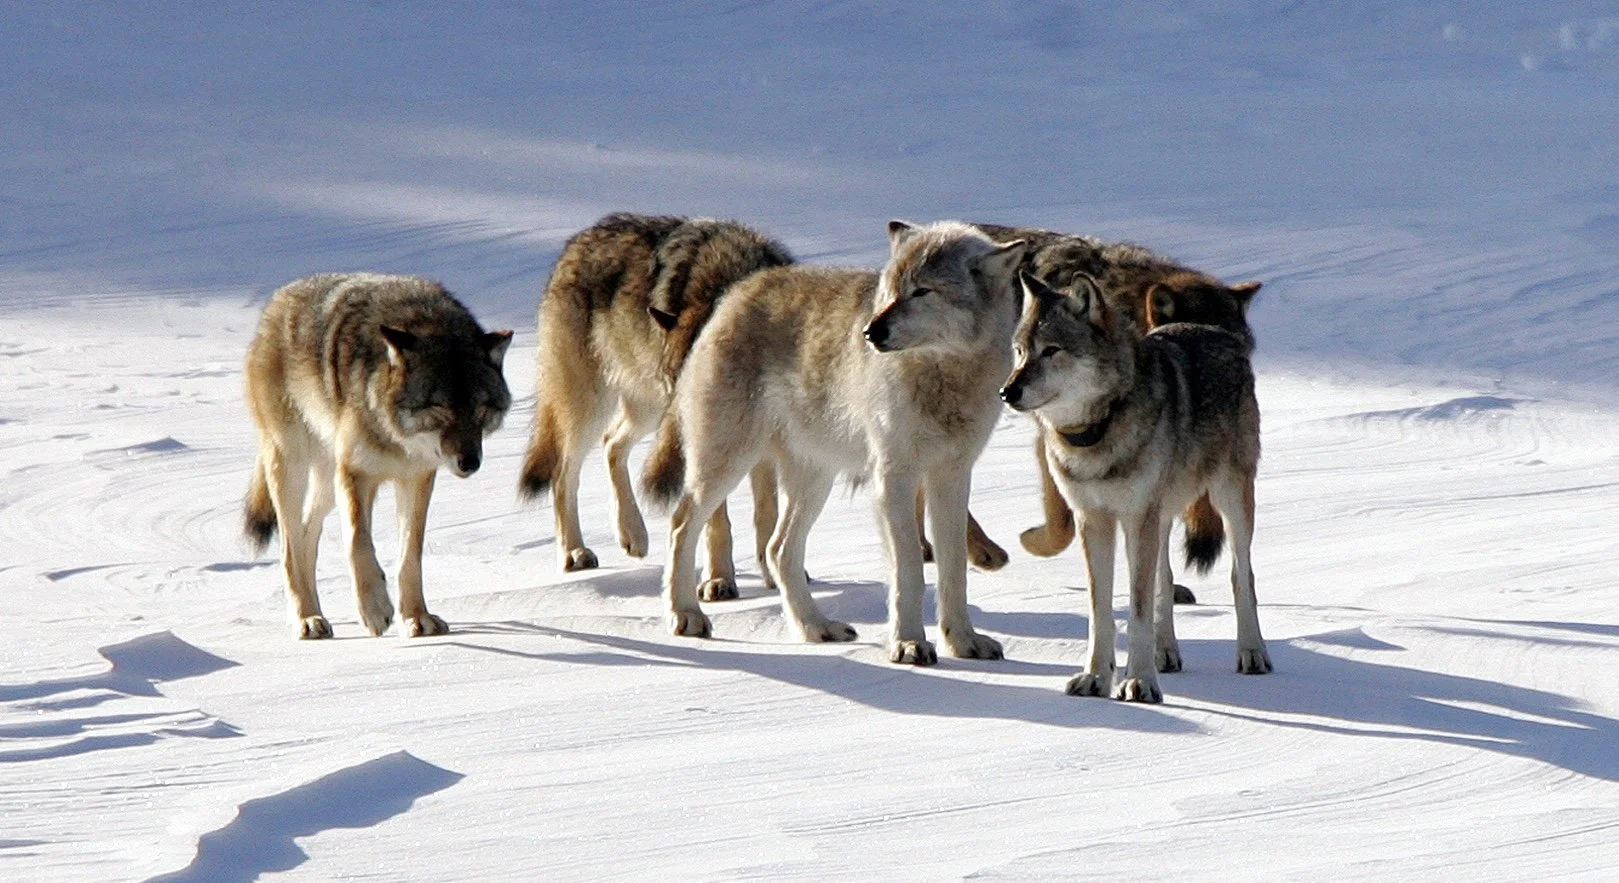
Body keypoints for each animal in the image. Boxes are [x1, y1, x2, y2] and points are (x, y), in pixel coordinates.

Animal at [242, 273, 512, 639]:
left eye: (480, 410)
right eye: (439, 408)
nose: (469, 463)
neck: (397, 438)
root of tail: (278, 300)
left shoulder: (416, 478)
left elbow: (410, 555)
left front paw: (416, 617)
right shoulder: (355, 475)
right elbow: (358, 542)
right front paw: (375, 609)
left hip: (326, 482)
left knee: (306, 532)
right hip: (292, 467)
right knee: (288, 548)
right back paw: (306, 619)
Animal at [516, 214, 795, 600]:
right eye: (681, 382)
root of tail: (576, 243)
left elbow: (766, 511)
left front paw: (774, 576)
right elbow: (717, 521)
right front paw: (719, 580)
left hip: (646, 410)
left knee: (611, 443)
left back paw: (632, 534)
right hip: (595, 407)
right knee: (563, 472)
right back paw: (576, 552)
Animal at [642, 221, 1025, 665]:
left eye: (922, 291)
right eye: (890, 291)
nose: (871, 332)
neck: (943, 374)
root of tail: (735, 293)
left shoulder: (952, 476)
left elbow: (954, 572)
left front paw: (963, 641)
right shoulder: (894, 478)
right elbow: (910, 571)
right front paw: (908, 644)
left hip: (815, 481)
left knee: (778, 550)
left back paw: (816, 628)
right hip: (727, 465)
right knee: (680, 525)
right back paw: (686, 615)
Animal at [1001, 271, 1269, 702]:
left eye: (1052, 350)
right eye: (1020, 351)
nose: (1007, 392)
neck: (1097, 431)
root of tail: (1214, 330)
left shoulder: (1136, 517)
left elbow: (1138, 610)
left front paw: (1139, 682)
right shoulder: (1093, 520)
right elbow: (1102, 612)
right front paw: (1096, 677)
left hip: (1230, 501)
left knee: (1241, 577)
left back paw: (1252, 654)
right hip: (1160, 518)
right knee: (1165, 579)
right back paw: (1166, 654)